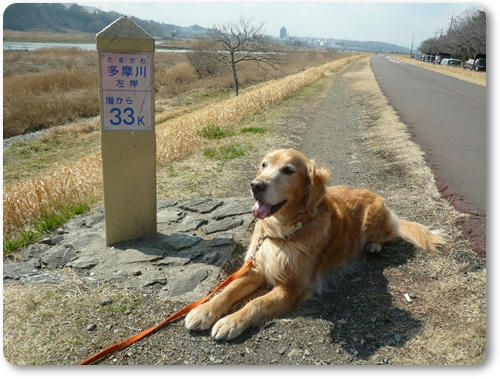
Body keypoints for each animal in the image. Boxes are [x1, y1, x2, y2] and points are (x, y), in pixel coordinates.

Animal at [186, 148, 444, 342]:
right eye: (263, 165)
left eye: (288, 170)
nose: (255, 185)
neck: (283, 232)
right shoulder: (258, 267)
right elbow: (228, 290)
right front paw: (203, 311)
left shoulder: (293, 288)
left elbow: (256, 303)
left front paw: (230, 321)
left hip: (375, 218)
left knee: (392, 233)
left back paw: (374, 245)